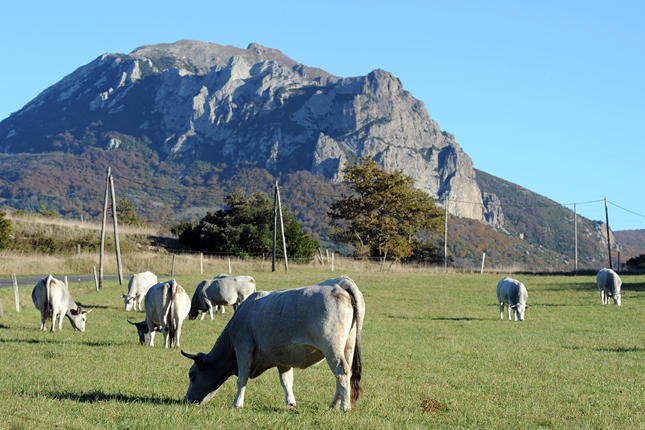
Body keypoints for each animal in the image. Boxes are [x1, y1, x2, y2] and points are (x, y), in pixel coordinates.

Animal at [182, 276, 362, 414]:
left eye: (192, 374)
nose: (186, 400)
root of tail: (339, 282)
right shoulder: (283, 358)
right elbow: (286, 381)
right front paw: (290, 403)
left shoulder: (243, 348)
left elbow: (242, 379)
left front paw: (237, 404)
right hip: (348, 347)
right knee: (344, 374)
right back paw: (333, 405)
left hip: (332, 349)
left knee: (341, 373)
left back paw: (344, 407)